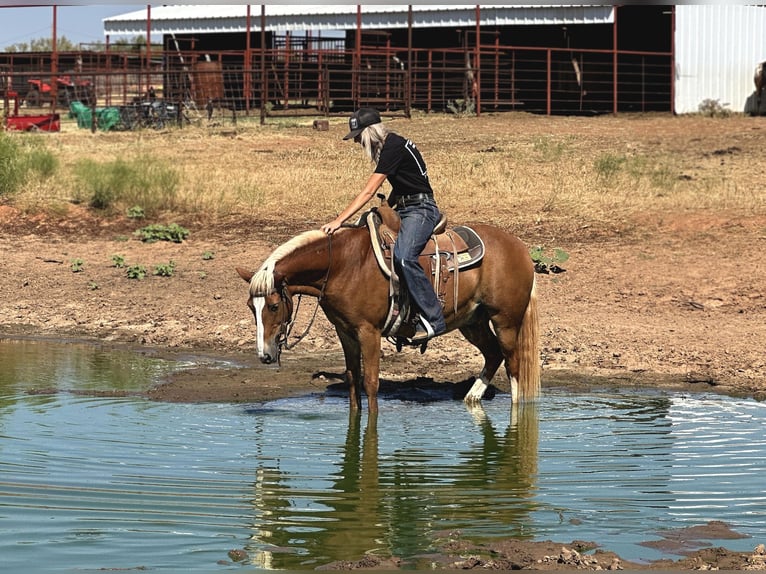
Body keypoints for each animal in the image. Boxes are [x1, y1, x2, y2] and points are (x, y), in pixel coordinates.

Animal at [237, 207, 544, 414]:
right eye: (252, 307)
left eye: (274, 305)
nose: (265, 355)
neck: (344, 265)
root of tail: (520, 247)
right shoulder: (345, 333)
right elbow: (353, 380)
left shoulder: (369, 332)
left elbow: (371, 383)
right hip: (473, 321)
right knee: (492, 355)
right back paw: (472, 398)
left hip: (505, 320)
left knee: (513, 364)